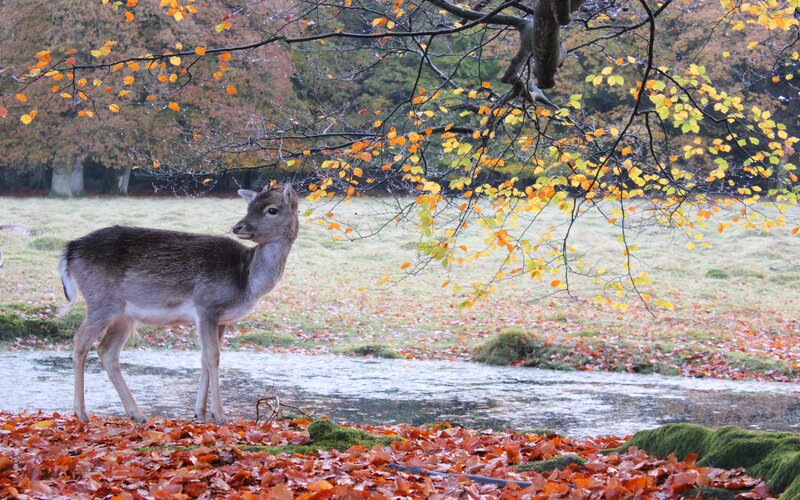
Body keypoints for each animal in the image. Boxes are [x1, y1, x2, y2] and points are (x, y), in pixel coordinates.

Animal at [58, 184, 299, 425]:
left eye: (271, 210)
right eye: (249, 207)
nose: (238, 226)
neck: (246, 281)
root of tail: (70, 249)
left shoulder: (222, 319)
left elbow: (204, 358)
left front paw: (200, 413)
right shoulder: (206, 305)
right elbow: (213, 356)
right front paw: (220, 415)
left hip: (124, 315)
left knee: (107, 351)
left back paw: (137, 414)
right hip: (101, 300)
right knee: (80, 341)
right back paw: (81, 412)